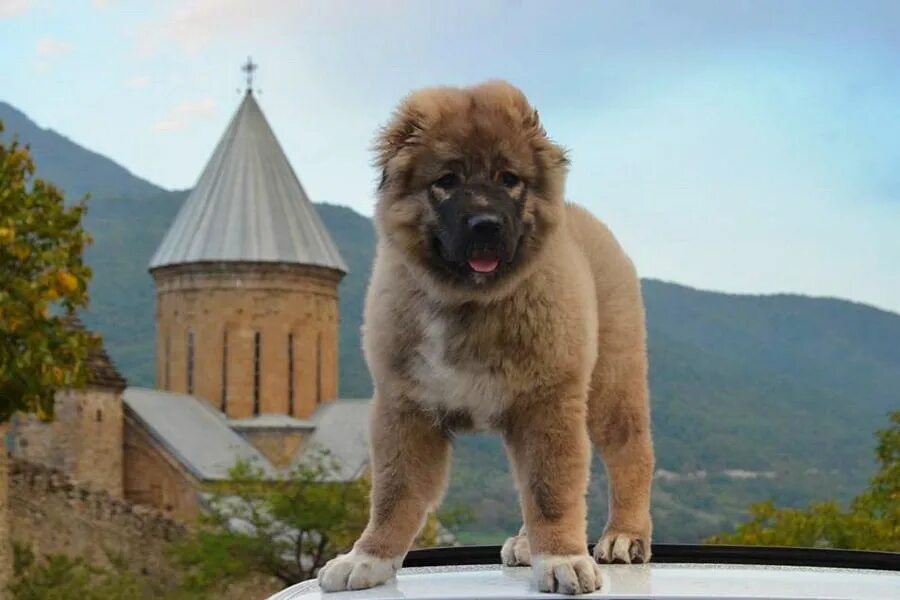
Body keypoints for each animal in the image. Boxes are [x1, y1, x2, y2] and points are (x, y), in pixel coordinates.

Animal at [318, 81, 652, 596]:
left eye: (508, 178)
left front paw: (562, 558)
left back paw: (624, 536)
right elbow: (393, 493)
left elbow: (551, 490)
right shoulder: (405, 407)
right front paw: (368, 559)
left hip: (611, 384)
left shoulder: (549, 403)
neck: (469, 303)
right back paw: (526, 543)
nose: (486, 225)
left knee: (632, 454)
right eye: (447, 180)